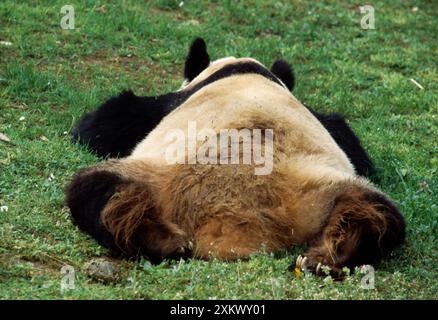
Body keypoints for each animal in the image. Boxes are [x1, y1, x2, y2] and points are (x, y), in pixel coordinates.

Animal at [66, 37, 406, 278]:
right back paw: (333, 253)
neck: (244, 70)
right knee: (378, 212)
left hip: (159, 173)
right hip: (318, 187)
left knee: (93, 190)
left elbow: (106, 123)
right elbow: (352, 143)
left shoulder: (166, 104)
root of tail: (235, 224)